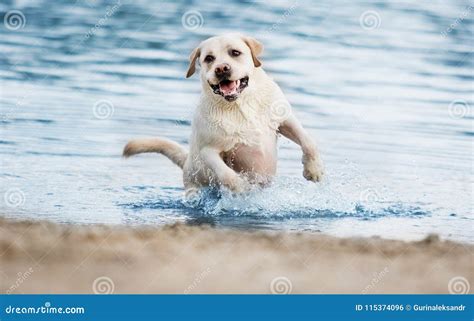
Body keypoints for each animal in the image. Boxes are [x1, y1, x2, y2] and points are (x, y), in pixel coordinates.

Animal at [123, 33, 322, 196]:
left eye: (235, 52)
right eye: (209, 58)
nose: (221, 69)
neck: (239, 105)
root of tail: (186, 162)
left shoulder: (284, 120)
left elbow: (309, 141)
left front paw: (314, 170)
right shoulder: (208, 149)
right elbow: (226, 174)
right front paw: (240, 188)